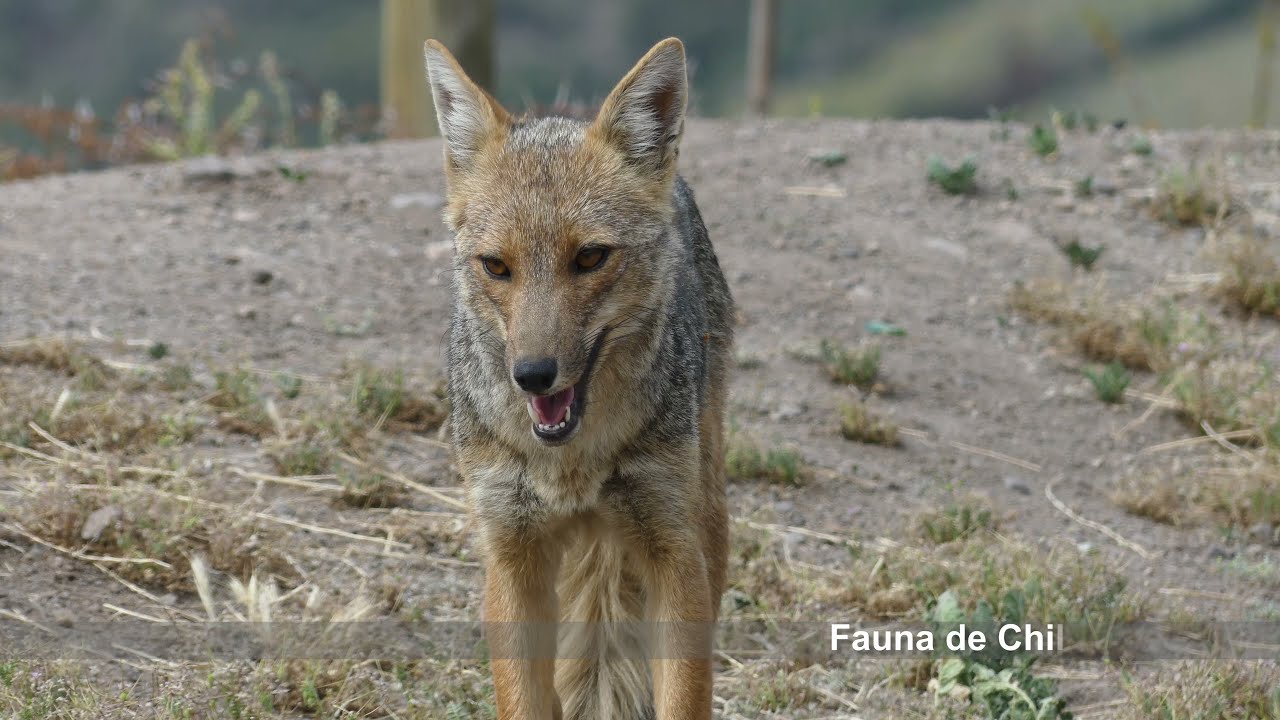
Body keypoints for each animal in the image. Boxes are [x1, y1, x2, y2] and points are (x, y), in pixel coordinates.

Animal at [423, 37, 734, 720]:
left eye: (590, 257)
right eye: (496, 266)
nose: (533, 376)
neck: (573, 465)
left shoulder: (676, 556)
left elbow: (680, 697)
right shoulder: (512, 556)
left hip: (708, 522)